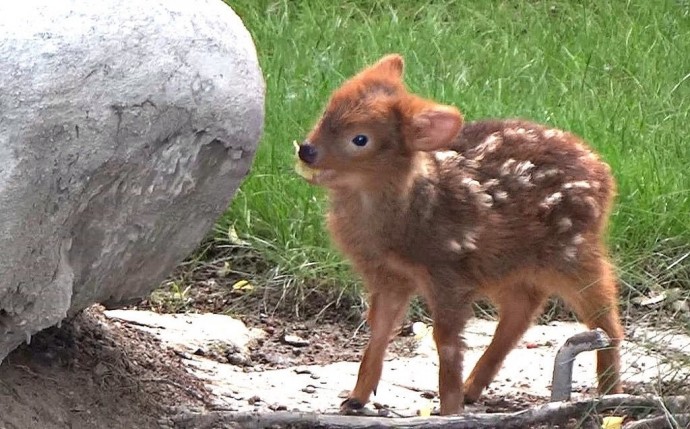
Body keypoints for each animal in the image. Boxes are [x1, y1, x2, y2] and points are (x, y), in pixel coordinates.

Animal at [296, 54, 624, 414]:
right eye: (327, 110)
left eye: (360, 139)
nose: (306, 151)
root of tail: (604, 175)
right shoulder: (388, 275)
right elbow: (379, 327)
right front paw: (355, 398)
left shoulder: (448, 271)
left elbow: (446, 340)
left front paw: (449, 409)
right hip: (508, 264)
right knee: (522, 309)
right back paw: (473, 388)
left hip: (573, 250)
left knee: (606, 317)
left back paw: (610, 393)